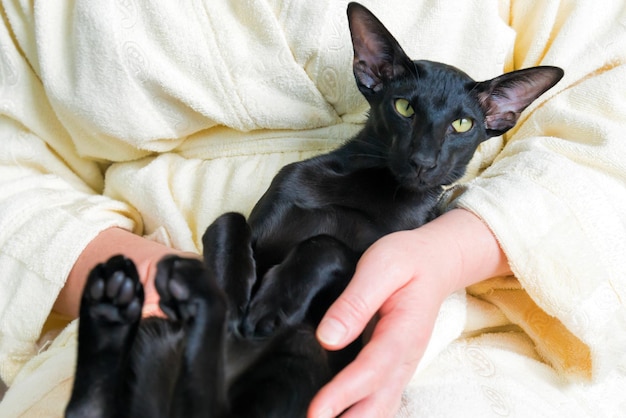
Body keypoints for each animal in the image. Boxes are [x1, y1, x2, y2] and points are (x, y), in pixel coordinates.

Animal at [63, 1, 560, 416]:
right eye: (404, 107)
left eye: (462, 125)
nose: (423, 162)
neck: (370, 189)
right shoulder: (269, 214)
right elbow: (229, 220)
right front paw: (232, 288)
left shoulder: (370, 266)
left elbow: (327, 244)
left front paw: (267, 304)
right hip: (158, 337)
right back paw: (136, 301)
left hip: (300, 354)